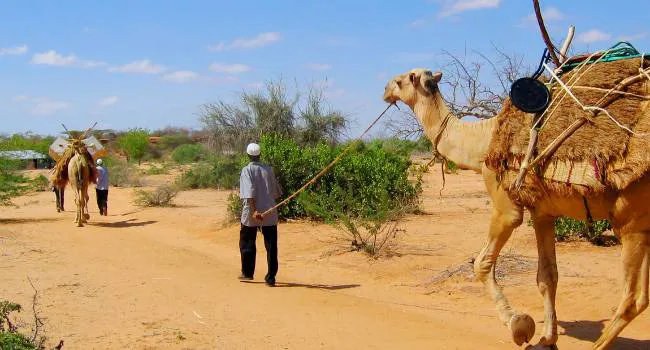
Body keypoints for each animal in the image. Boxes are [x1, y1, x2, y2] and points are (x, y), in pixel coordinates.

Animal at [382, 67, 644, 348]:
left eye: (399, 81)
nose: (385, 91)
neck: (482, 140)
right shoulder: (542, 212)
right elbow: (547, 276)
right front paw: (547, 338)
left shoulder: (504, 202)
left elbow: (482, 263)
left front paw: (519, 325)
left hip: (632, 218)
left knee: (633, 297)